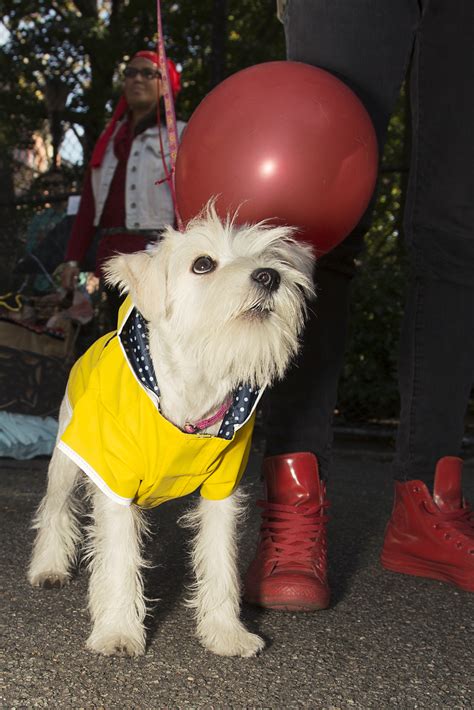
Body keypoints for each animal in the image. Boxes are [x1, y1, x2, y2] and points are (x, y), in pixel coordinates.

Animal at [26, 207, 314, 660]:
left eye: (273, 257)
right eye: (203, 264)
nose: (270, 276)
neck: (193, 388)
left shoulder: (222, 491)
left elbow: (220, 562)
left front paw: (225, 633)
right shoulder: (115, 483)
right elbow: (120, 560)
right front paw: (119, 632)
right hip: (67, 462)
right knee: (55, 510)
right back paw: (48, 568)